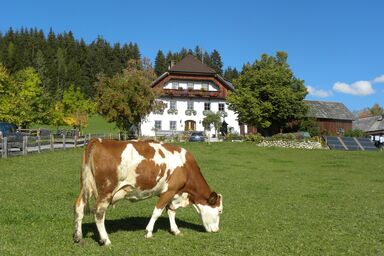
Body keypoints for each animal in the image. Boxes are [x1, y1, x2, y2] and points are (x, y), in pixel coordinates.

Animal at [73, 139, 222, 245]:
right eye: (220, 211)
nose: (217, 231)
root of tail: (97, 141)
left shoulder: (173, 193)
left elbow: (171, 211)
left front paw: (175, 230)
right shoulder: (169, 190)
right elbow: (157, 212)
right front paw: (148, 232)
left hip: (85, 187)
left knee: (79, 207)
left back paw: (78, 237)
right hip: (106, 191)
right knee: (98, 213)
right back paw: (105, 240)